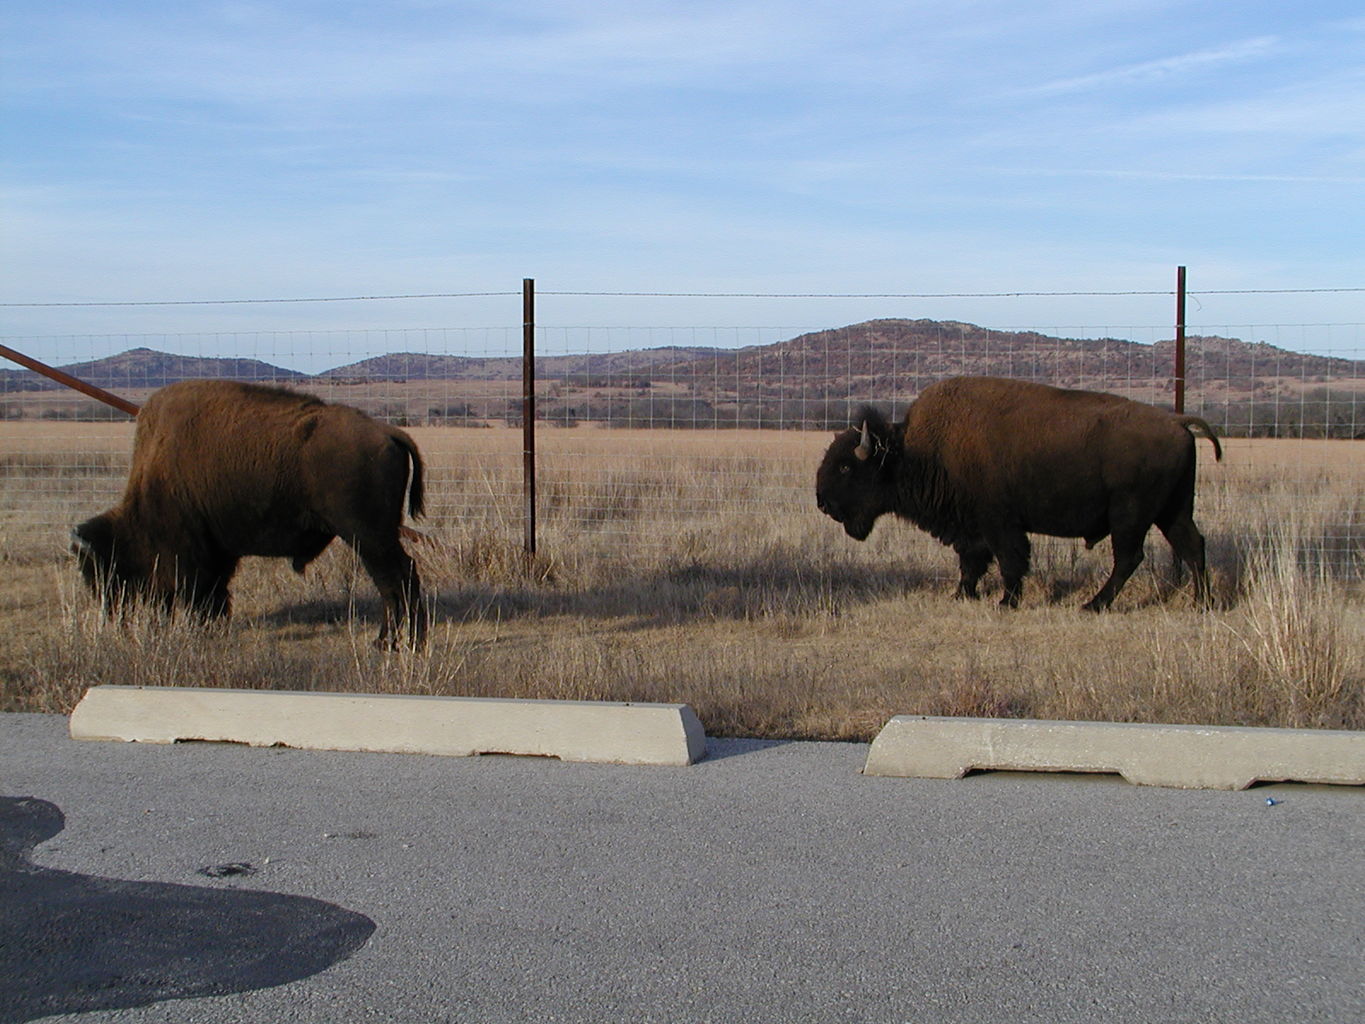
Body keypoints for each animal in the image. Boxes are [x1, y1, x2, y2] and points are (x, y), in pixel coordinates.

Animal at [73, 376, 425, 649]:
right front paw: (213, 628)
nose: (109, 616)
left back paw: (392, 643)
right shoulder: (218, 551)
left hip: (367, 536)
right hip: (377, 535)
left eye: (102, 568)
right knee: (398, 578)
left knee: (395, 579)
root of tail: (389, 432)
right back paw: (400, 641)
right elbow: (215, 592)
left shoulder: (189, 552)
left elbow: (198, 591)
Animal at [813, 382, 1223, 614]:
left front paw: (1006, 602)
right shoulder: (970, 528)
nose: (822, 503)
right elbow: (972, 562)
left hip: (1130, 515)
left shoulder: (1000, 524)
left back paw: (1093, 605)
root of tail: (1176, 422)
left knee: (1129, 557)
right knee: (1192, 545)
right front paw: (962, 595)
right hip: (1173, 510)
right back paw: (1202, 605)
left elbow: (1009, 561)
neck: (913, 452)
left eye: (846, 467)